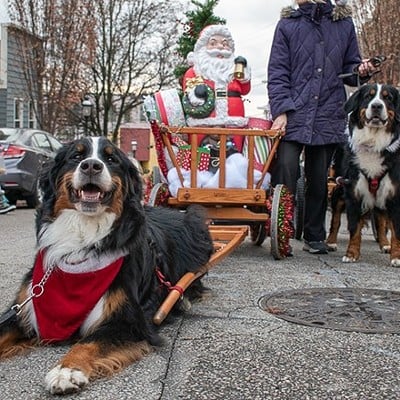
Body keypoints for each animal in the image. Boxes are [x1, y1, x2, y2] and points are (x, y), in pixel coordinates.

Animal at [0, 137, 214, 394]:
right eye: (76, 156)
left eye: (111, 159)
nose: (91, 166)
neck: (84, 236)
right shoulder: (23, 308)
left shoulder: (128, 320)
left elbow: (89, 342)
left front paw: (67, 370)